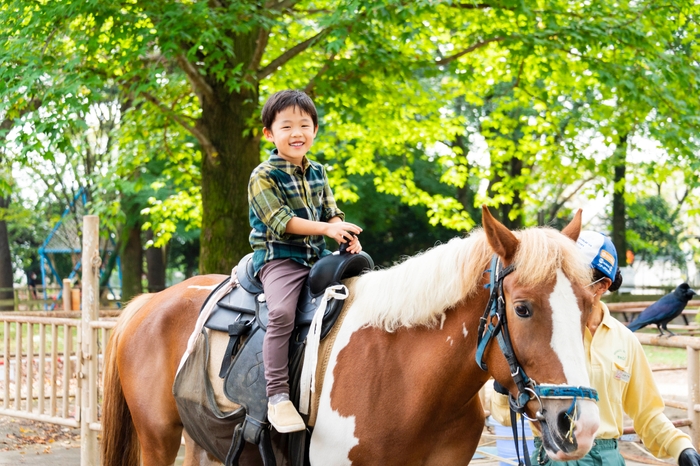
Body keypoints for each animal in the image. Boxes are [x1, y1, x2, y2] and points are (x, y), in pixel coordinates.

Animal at [101, 208, 600, 466]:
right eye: (522, 308)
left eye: (590, 310)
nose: (580, 426)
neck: (409, 381)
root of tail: (147, 303)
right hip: (158, 439)